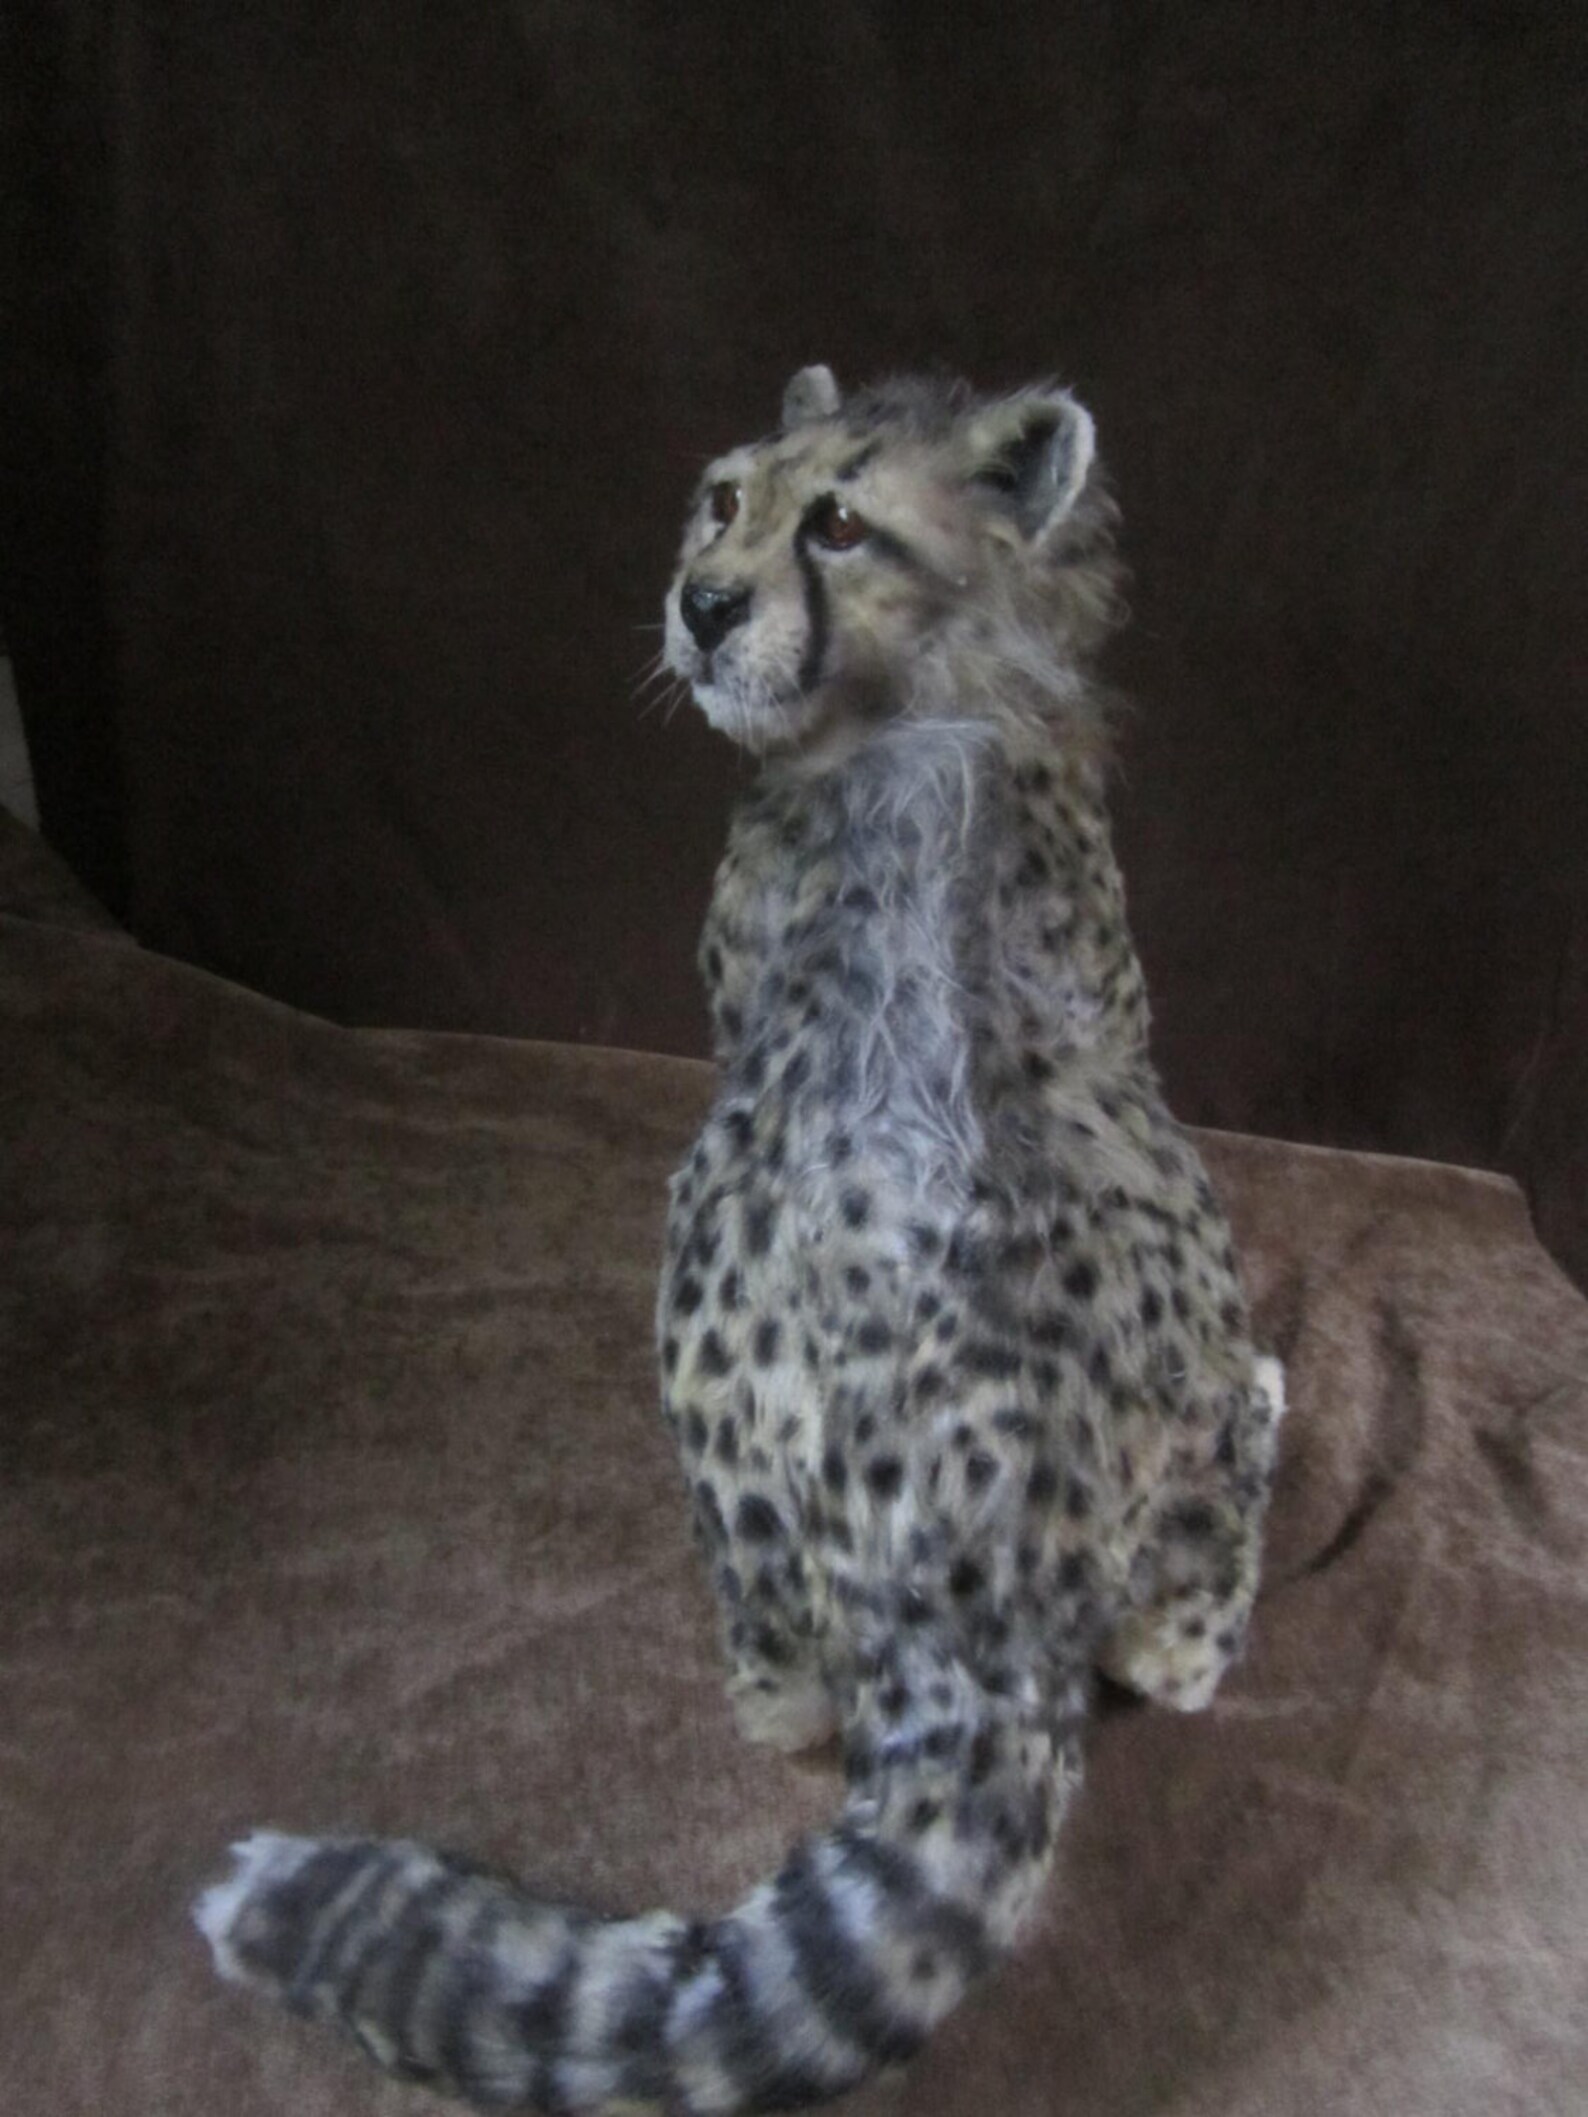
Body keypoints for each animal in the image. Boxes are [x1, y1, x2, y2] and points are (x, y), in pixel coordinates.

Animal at [195, 363, 1285, 2115]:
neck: (938, 683)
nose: (703, 604)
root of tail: (983, 1574)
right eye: (722, 499)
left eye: (837, 521)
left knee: (819, 1677)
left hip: (721, 1304)